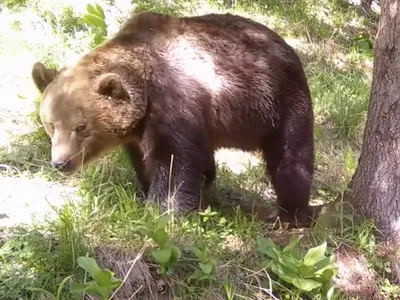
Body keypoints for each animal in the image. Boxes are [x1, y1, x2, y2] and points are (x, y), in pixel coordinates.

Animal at [31, 10, 316, 225]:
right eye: (51, 124)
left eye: (81, 126)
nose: (61, 162)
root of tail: (287, 46)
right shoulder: (140, 130)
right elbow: (145, 159)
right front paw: (145, 191)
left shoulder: (173, 103)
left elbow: (173, 163)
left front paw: (162, 210)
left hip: (278, 102)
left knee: (291, 157)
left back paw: (289, 212)